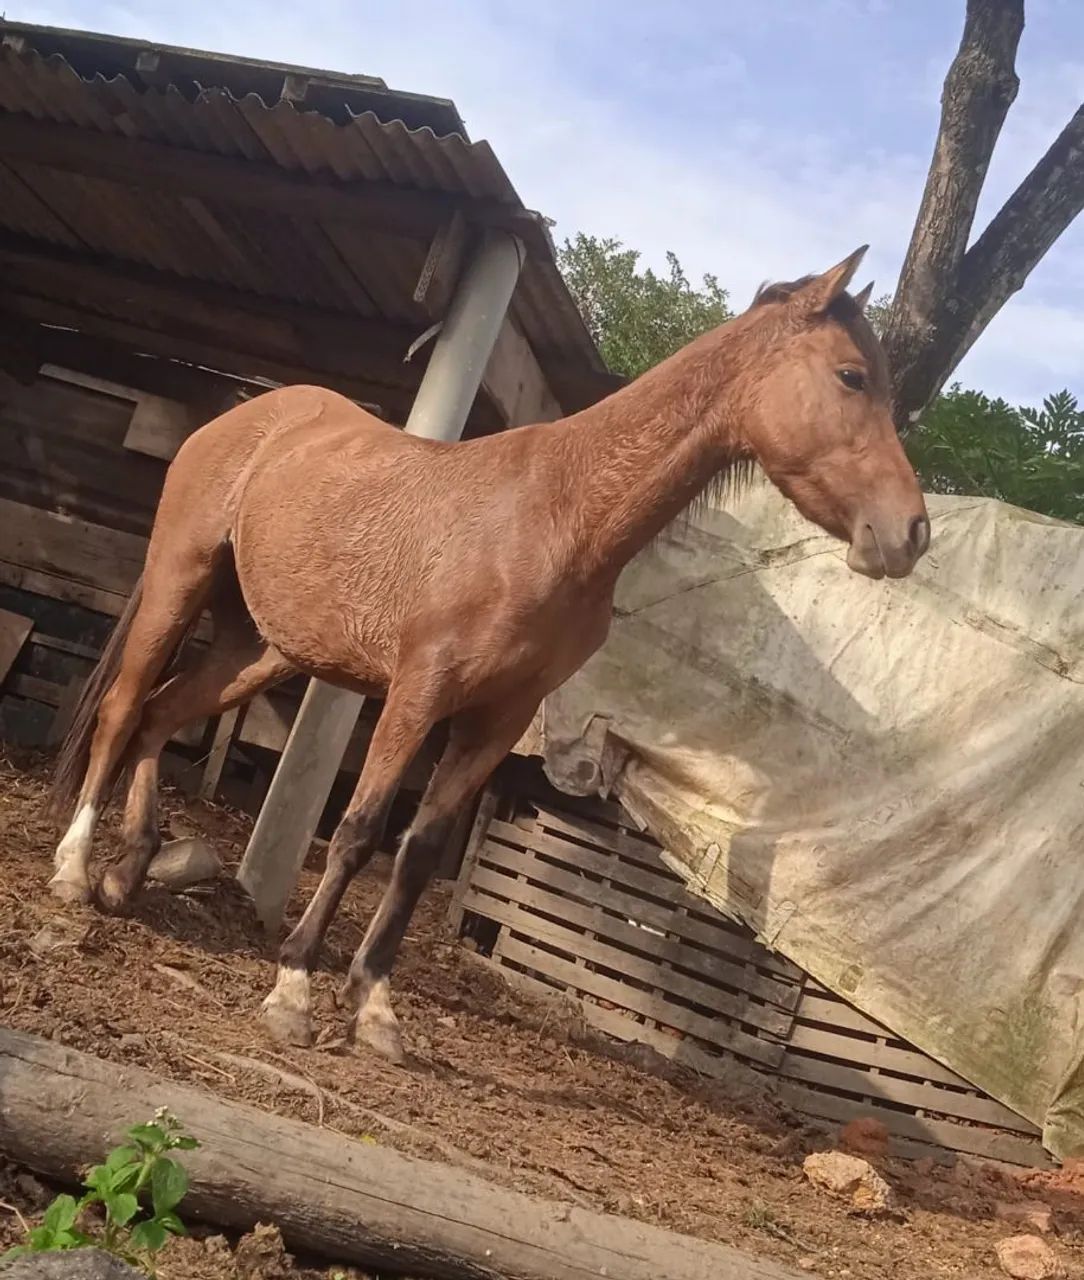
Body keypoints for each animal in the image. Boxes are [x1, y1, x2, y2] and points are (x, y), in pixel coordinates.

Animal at [48, 245, 929, 1063]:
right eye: (852, 376)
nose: (910, 533)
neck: (558, 515)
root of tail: (242, 415)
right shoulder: (418, 692)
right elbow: (361, 831)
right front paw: (294, 987)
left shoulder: (497, 718)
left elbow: (419, 851)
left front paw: (376, 1010)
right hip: (178, 582)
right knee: (125, 709)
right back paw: (73, 869)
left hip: (259, 646)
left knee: (163, 714)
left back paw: (127, 874)